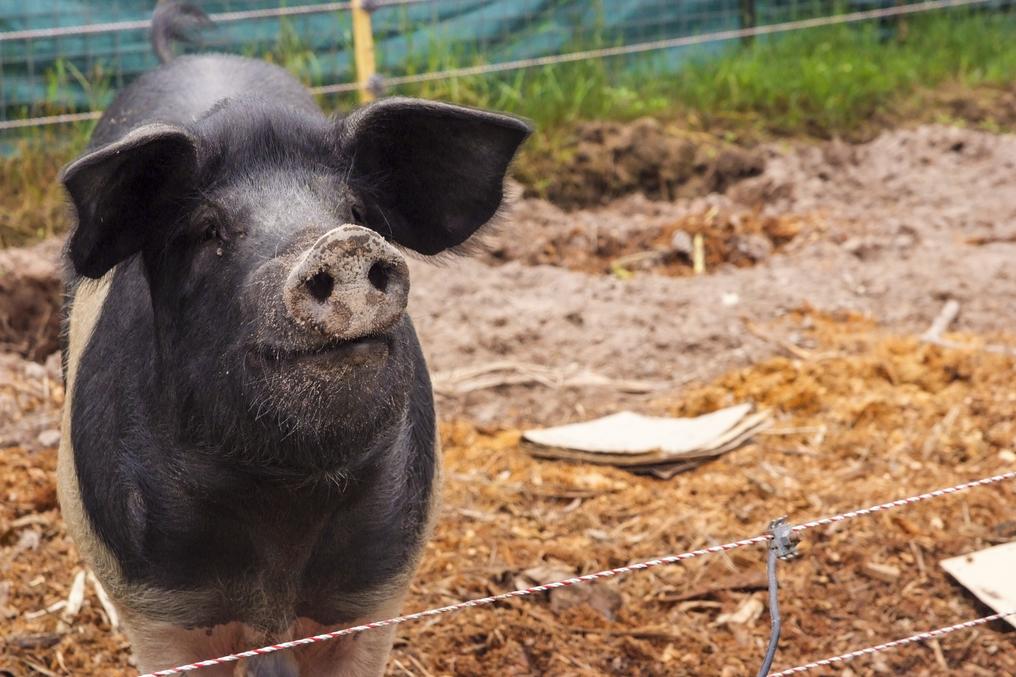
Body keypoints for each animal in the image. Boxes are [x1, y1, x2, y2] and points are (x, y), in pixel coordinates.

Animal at [57, 2, 530, 675]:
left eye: (355, 211)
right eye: (208, 230)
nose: (342, 243)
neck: (281, 497)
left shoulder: (372, 595)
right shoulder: (159, 608)